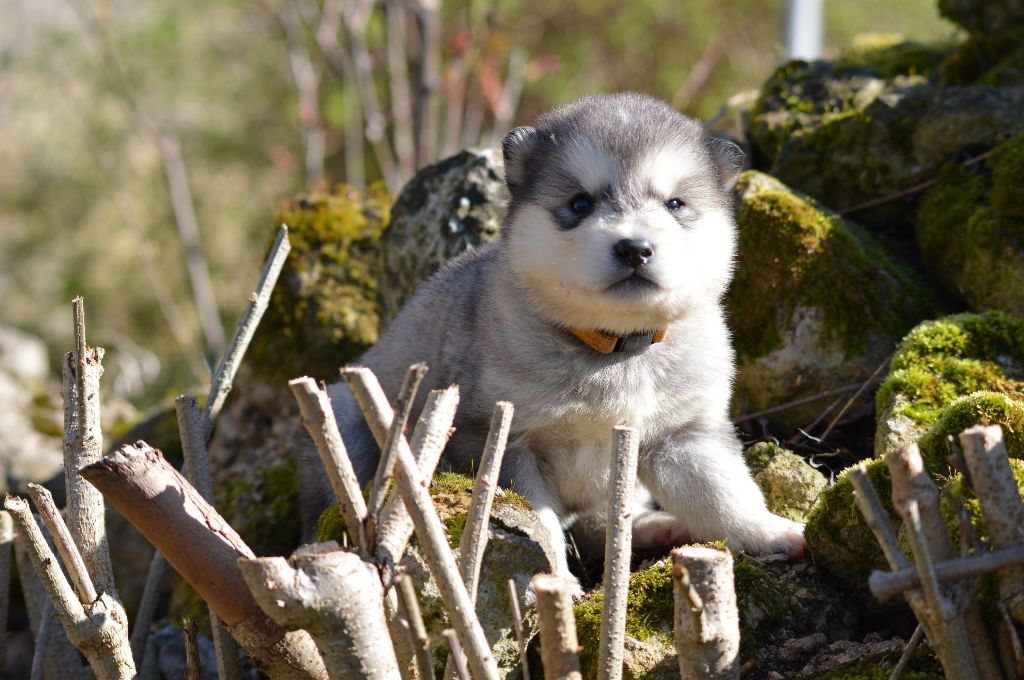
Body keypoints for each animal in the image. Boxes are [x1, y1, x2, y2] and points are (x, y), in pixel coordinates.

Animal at [299, 91, 802, 585]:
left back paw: (655, 526)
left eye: (674, 204)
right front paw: (556, 578)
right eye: (580, 204)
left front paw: (772, 532)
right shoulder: (505, 441)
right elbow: (538, 523)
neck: (612, 349)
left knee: (604, 523)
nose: (634, 248)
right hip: (346, 414)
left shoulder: (685, 435)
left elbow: (725, 495)